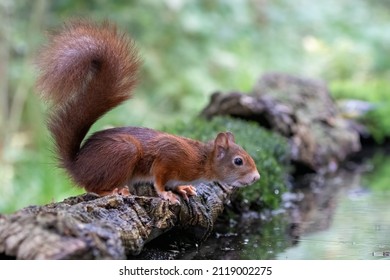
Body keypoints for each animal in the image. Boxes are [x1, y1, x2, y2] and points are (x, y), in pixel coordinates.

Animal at [35, 19, 260, 203]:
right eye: (238, 161)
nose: (257, 177)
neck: (202, 160)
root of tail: (78, 166)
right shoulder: (169, 157)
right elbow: (159, 178)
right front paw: (166, 194)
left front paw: (183, 188)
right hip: (124, 153)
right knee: (91, 187)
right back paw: (115, 191)